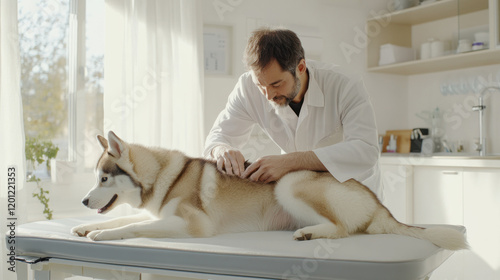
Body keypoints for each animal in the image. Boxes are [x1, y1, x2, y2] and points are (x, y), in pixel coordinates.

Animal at [71, 131, 468, 249]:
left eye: (103, 178)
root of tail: (380, 204)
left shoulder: (193, 225)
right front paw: (86, 226)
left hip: (291, 184)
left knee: (344, 229)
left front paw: (104, 235)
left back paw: (310, 234)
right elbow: (120, 219)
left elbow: (135, 225)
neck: (164, 176)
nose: (84, 199)